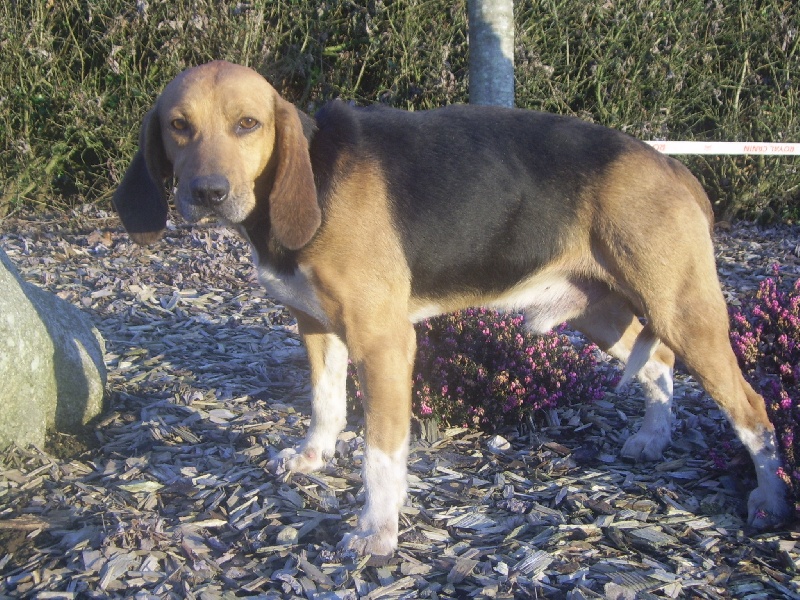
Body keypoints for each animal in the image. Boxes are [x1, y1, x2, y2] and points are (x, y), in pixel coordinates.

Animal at [112, 61, 788, 556]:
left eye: (248, 124)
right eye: (178, 125)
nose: (207, 194)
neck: (311, 175)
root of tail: (669, 162)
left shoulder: (384, 344)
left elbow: (382, 456)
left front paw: (376, 531)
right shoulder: (316, 328)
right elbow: (325, 406)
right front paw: (313, 456)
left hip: (681, 311)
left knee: (752, 407)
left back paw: (774, 500)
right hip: (601, 313)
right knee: (660, 367)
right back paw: (653, 438)